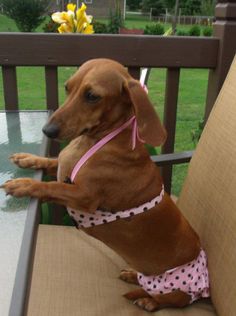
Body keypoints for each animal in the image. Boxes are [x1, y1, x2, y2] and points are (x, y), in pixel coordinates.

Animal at [0, 58, 209, 312]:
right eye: (68, 87)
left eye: (92, 96)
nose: (47, 131)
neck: (97, 140)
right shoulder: (64, 171)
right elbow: (51, 162)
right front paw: (27, 159)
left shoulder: (83, 196)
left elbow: (52, 187)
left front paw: (22, 184)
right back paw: (132, 274)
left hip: (176, 290)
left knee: (168, 299)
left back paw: (148, 300)